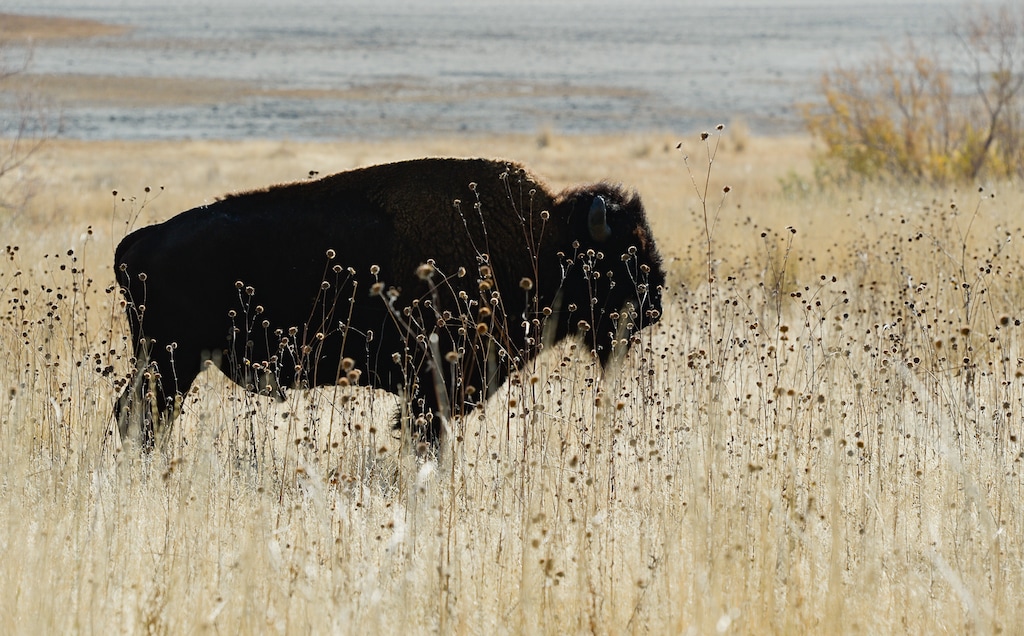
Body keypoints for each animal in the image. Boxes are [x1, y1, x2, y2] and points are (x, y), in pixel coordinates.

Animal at [115, 158, 665, 447]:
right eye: (621, 256)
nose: (653, 303)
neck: (542, 242)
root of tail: (137, 243)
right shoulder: (434, 383)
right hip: (171, 364)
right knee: (137, 414)